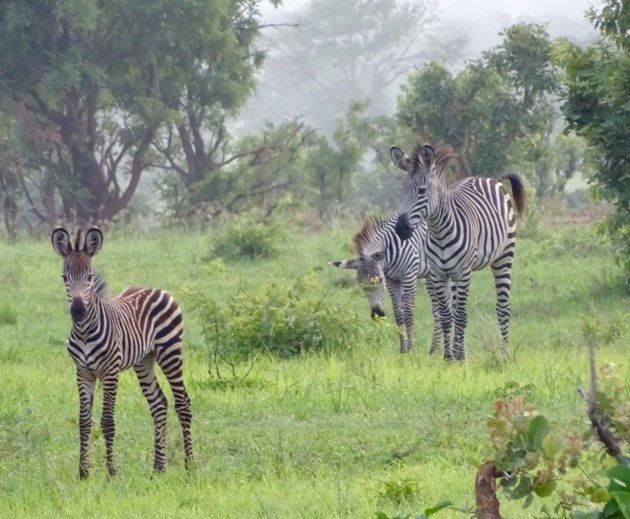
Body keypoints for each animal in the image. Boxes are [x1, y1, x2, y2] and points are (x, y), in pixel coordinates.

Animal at [51, 228, 193, 480]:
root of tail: (156, 288)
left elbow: (107, 422)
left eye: (89, 277)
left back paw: (189, 465)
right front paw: (83, 472)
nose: (78, 311)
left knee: (183, 402)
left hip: (170, 351)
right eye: (64, 278)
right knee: (159, 404)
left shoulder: (110, 372)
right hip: (144, 360)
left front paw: (111, 472)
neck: (85, 331)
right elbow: (84, 421)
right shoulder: (83, 373)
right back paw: (158, 468)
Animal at [330, 214, 444, 354]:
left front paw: (411, 351)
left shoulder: (409, 276)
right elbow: (399, 315)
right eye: (361, 285)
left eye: (380, 280)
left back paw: (436, 350)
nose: (377, 314)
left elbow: (408, 314)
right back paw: (435, 350)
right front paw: (403, 350)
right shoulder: (392, 280)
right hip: (430, 276)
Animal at [392, 142, 524, 362]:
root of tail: (489, 179)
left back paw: (504, 354)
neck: (439, 231)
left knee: (503, 308)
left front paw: (461, 358)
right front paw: (448, 357)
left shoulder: (463, 272)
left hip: (504, 256)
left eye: (422, 191)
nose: (401, 229)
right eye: (402, 191)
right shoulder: (437, 274)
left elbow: (461, 316)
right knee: (454, 309)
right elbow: (446, 316)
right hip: (453, 273)